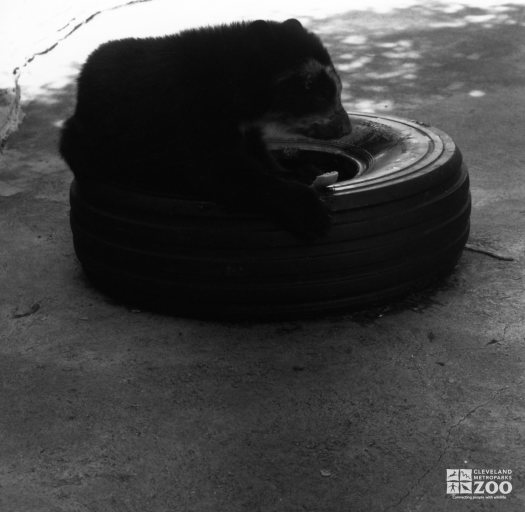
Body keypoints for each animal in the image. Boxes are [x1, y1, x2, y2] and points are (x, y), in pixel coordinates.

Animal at [59, 18, 350, 238]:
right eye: (317, 92)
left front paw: (304, 171)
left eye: (337, 88)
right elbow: (220, 172)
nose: (345, 129)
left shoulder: (245, 129)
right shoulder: (192, 120)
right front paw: (310, 212)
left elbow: (260, 156)